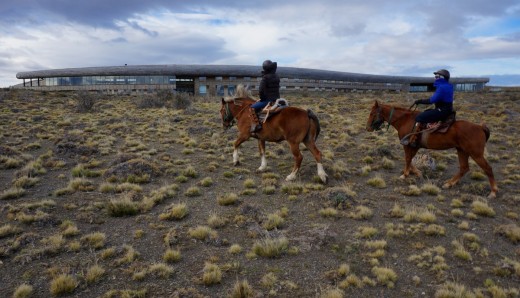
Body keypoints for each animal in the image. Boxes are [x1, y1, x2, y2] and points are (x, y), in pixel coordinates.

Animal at [364, 101, 498, 199]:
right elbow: (410, 160)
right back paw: (448, 183)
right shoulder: (414, 146)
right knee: (464, 168)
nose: (368, 128)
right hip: (462, 150)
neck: (405, 121)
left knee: (487, 168)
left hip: (475, 153)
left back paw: (493, 192)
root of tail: (480, 127)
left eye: (372, 113)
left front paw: (405, 175)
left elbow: (407, 159)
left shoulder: (408, 145)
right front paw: (417, 172)